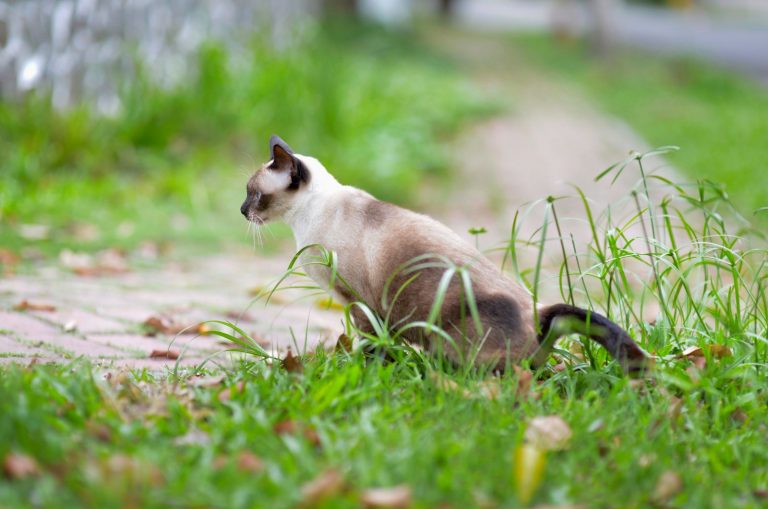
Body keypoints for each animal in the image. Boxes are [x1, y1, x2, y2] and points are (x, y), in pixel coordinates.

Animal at [242, 135, 648, 374]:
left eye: (255, 195)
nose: (242, 211)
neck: (308, 217)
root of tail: (540, 311)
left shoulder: (358, 302)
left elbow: (371, 343)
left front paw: (369, 368)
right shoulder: (362, 306)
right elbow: (380, 342)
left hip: (452, 341)